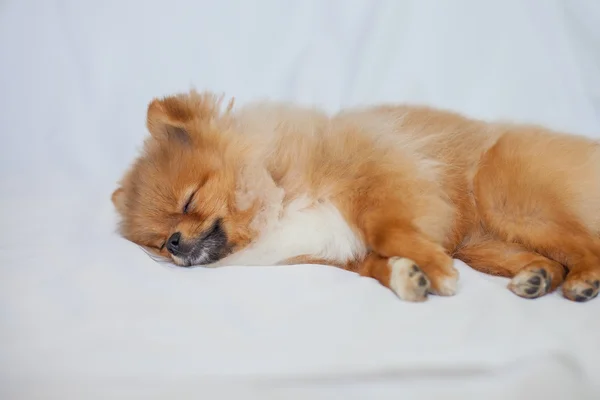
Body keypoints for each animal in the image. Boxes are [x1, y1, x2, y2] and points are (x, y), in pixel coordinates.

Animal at [113, 90, 600, 304]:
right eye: (159, 242)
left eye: (189, 201)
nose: (176, 242)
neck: (278, 193)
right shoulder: (341, 250)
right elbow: (378, 265)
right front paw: (410, 277)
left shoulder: (381, 182)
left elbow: (387, 230)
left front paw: (436, 271)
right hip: (483, 244)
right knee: (553, 258)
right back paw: (537, 278)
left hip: (508, 203)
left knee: (586, 244)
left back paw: (583, 281)